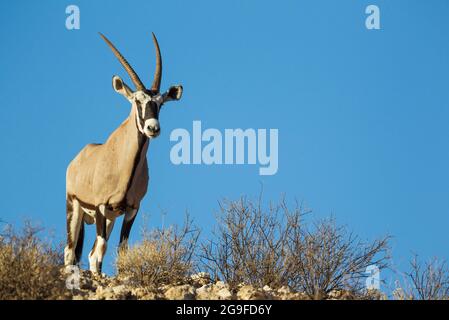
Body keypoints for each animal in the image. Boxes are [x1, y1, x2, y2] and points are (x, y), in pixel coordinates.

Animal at [64, 31, 182, 272]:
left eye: (161, 104)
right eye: (137, 101)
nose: (153, 128)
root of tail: (76, 160)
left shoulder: (131, 209)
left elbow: (121, 251)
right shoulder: (101, 205)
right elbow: (101, 248)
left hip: (110, 217)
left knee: (89, 253)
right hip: (75, 207)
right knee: (70, 252)